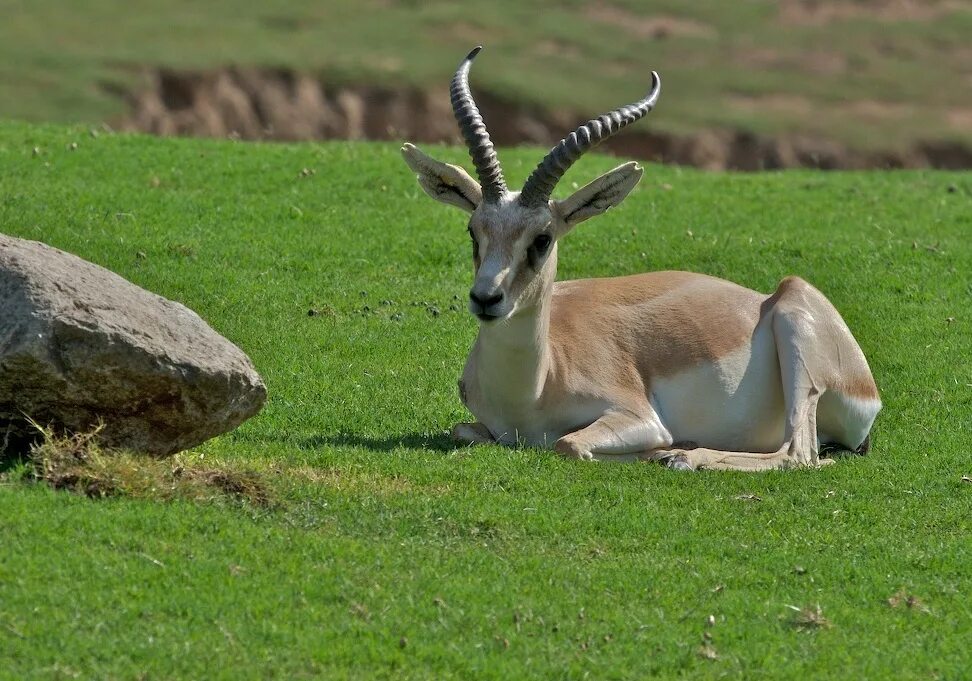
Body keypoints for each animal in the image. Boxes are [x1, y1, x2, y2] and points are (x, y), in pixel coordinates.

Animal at [402, 47, 880, 470]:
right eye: (474, 230)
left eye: (542, 238)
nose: (487, 299)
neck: (532, 389)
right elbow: (464, 431)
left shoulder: (638, 417)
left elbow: (567, 443)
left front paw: (666, 451)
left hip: (796, 335)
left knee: (799, 454)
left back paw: (684, 456)